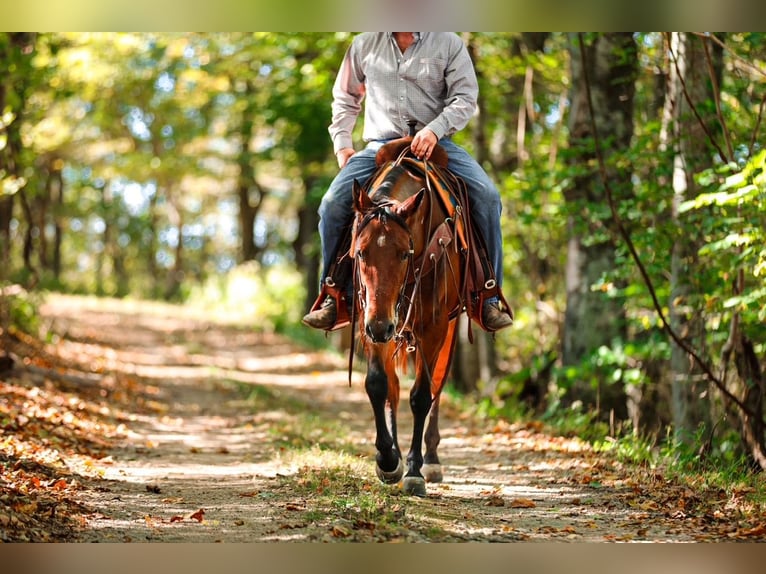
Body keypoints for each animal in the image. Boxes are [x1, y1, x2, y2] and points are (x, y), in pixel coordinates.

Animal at [349, 137, 466, 497]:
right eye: (361, 253)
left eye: (404, 254)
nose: (381, 327)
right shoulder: (371, 318)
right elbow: (379, 385)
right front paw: (388, 459)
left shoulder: (433, 326)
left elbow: (422, 396)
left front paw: (414, 469)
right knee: (395, 387)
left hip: (446, 327)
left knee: (438, 385)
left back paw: (431, 460)